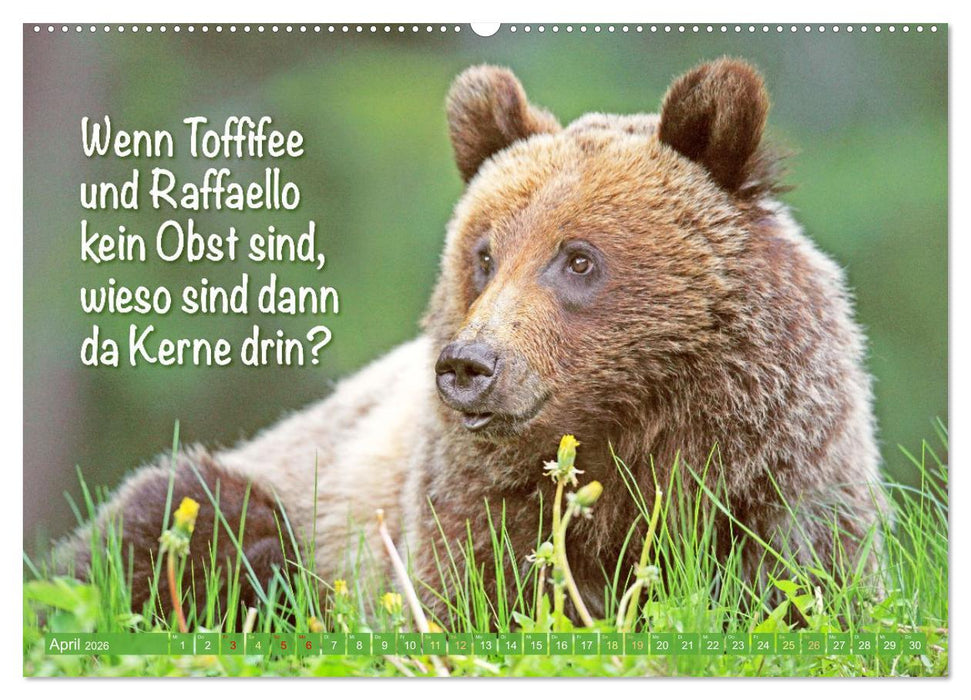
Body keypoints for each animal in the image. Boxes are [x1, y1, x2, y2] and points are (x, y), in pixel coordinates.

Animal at [53, 58, 883, 627]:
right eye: (484, 254)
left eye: (578, 258)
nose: (469, 366)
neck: (633, 436)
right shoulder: (469, 502)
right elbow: (479, 596)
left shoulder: (779, 481)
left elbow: (798, 590)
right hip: (285, 490)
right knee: (175, 521)